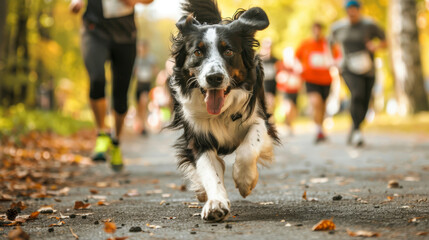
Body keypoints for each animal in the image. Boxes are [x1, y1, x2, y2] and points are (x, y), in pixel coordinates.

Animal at [167, 0, 278, 221]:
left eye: (228, 51)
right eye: (198, 52)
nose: (214, 78)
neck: (221, 112)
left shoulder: (261, 120)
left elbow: (249, 145)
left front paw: (245, 179)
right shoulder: (197, 137)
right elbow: (209, 170)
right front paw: (216, 203)